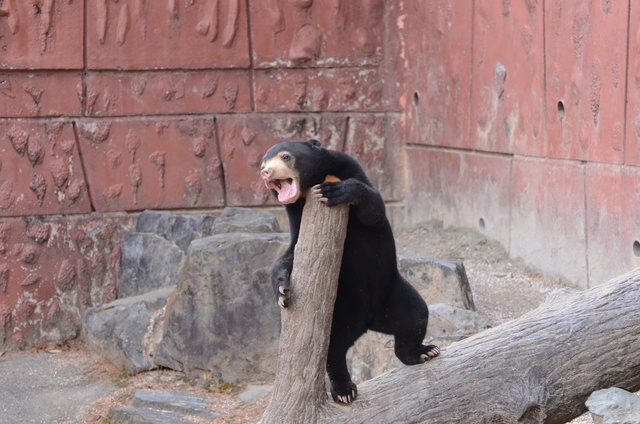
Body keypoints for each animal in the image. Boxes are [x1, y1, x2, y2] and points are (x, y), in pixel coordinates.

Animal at [260, 139, 440, 404]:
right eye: (263, 163)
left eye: (285, 157)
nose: (266, 172)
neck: (308, 191)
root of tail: (369, 321)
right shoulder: (297, 218)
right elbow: (291, 254)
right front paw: (283, 292)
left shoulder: (350, 167)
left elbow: (374, 209)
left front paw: (334, 191)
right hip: (340, 311)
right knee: (332, 350)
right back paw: (344, 390)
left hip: (393, 293)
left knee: (416, 316)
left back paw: (425, 352)